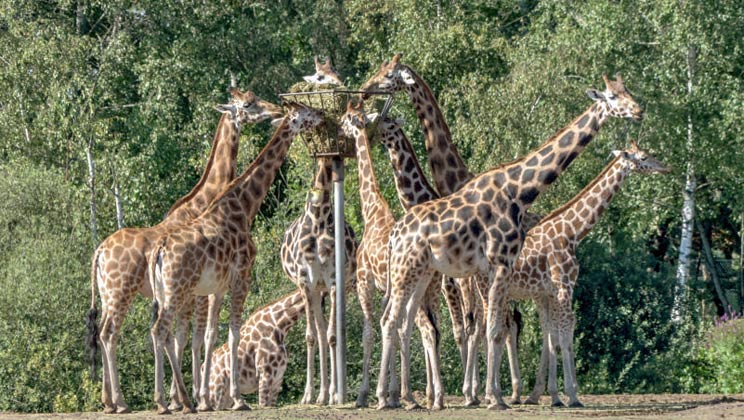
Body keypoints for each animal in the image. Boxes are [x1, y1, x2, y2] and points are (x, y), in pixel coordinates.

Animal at [85, 88, 282, 414]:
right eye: (249, 103)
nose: (276, 110)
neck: (204, 200)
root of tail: (99, 251)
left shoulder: (189, 292)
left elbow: (180, 338)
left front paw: (183, 398)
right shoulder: (197, 292)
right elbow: (193, 338)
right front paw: (195, 399)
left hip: (107, 293)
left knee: (102, 331)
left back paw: (109, 402)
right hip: (122, 292)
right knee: (110, 333)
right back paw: (123, 403)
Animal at [148, 102, 326, 414]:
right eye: (304, 113)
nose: (322, 115)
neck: (244, 207)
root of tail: (159, 250)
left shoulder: (218, 287)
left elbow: (211, 335)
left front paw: (206, 399)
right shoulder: (242, 277)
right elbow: (234, 333)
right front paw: (238, 400)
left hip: (166, 292)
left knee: (163, 333)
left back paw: (180, 401)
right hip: (177, 289)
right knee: (161, 331)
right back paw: (166, 401)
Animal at [280, 156, 358, 406]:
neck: (318, 218)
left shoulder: (333, 281)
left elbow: (334, 335)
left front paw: (333, 395)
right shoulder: (306, 282)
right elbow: (311, 336)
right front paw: (308, 395)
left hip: (335, 288)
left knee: (332, 332)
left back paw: (332, 392)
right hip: (316, 291)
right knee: (320, 331)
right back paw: (320, 394)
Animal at [374, 73, 644, 410]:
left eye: (627, 91)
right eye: (612, 96)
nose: (639, 110)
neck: (519, 190)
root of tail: (396, 234)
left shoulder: (491, 270)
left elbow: (494, 329)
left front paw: (490, 394)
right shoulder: (497, 265)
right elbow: (489, 330)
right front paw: (492, 397)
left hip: (422, 274)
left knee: (404, 322)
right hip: (407, 271)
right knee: (391, 320)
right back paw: (385, 397)